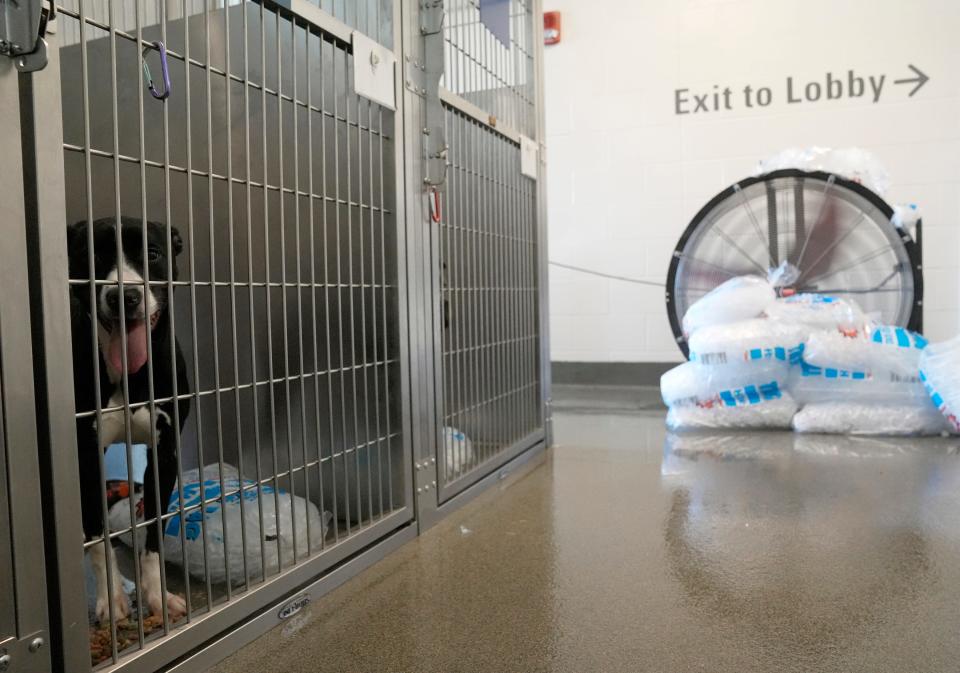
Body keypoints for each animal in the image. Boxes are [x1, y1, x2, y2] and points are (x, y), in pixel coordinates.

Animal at [68, 218, 190, 624]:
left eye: (152, 253)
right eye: (92, 253)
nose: (125, 296)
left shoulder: (164, 454)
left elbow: (153, 531)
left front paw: (157, 596)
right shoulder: (86, 457)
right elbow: (99, 537)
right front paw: (113, 599)